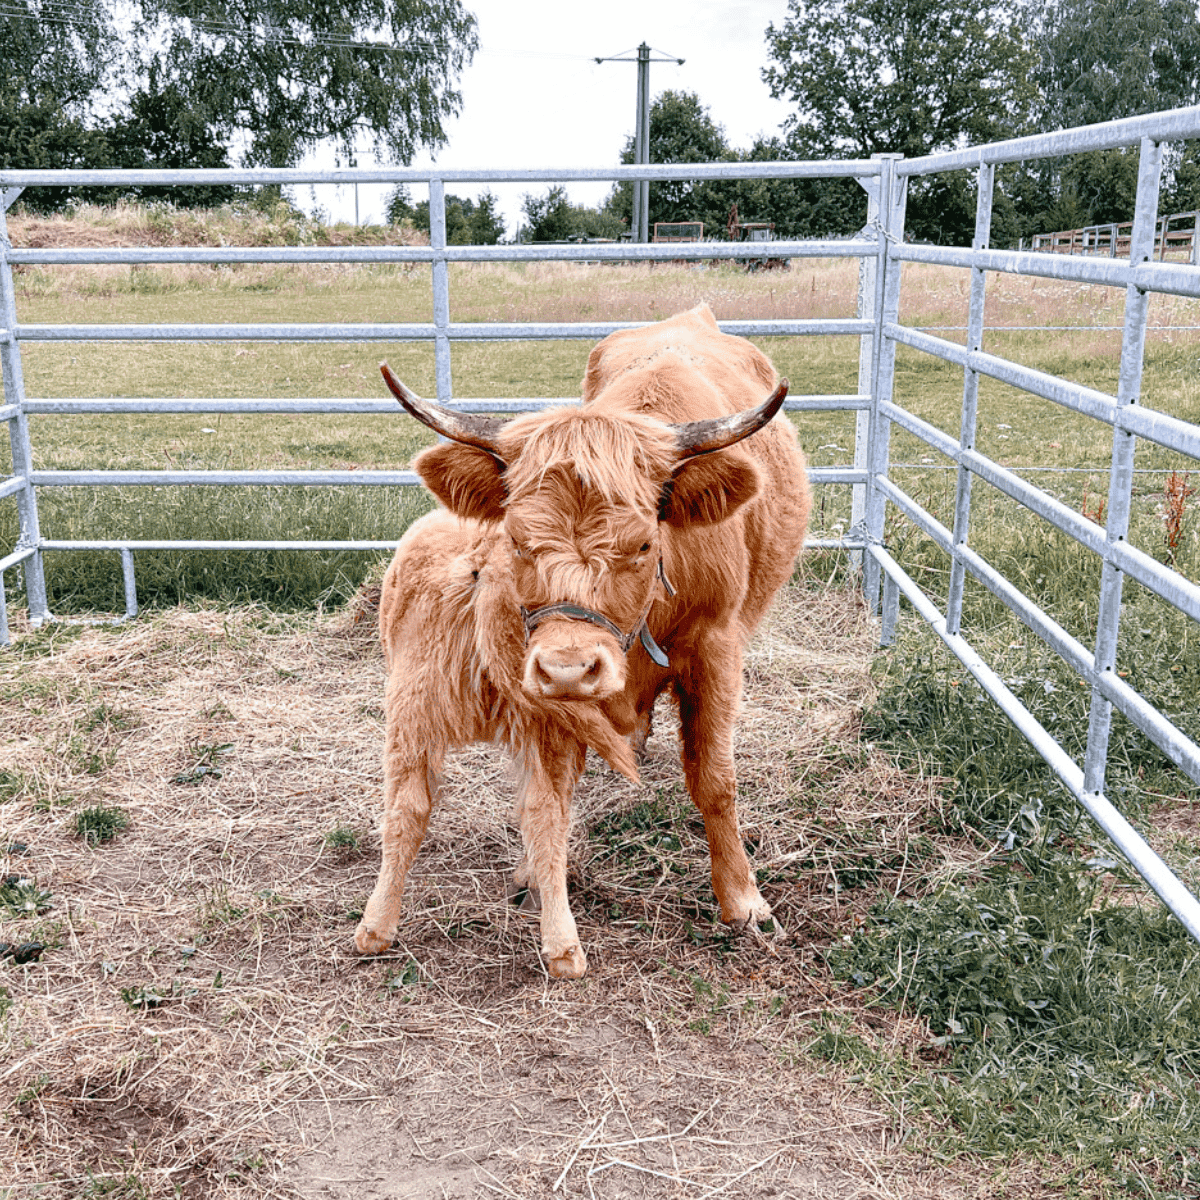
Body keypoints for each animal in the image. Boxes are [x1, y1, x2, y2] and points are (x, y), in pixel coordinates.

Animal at [355, 305, 811, 978]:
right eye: (518, 540)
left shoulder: (717, 649)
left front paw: (743, 900)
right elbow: (554, 794)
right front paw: (538, 883)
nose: (570, 669)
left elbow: (714, 779)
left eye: (644, 543)